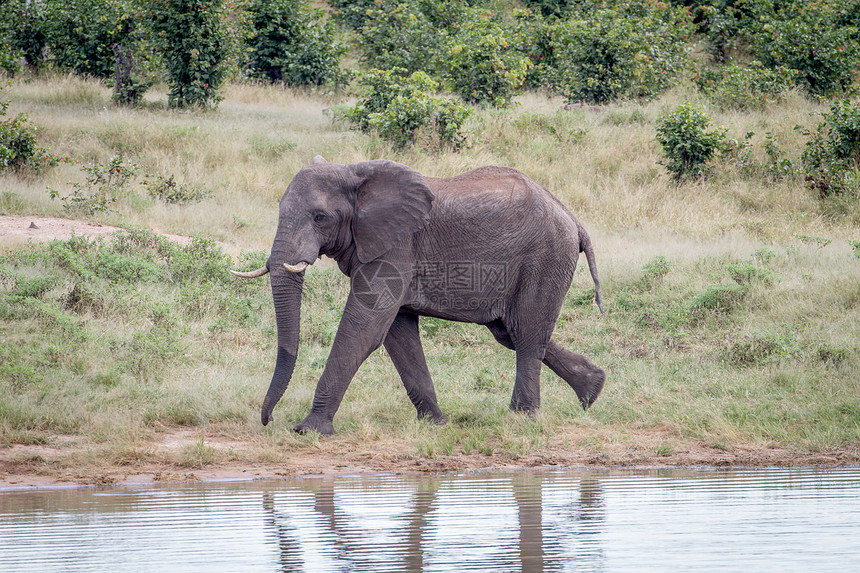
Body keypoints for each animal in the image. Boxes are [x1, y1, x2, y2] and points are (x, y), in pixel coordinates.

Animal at [230, 156, 604, 434]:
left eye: (320, 217)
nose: (267, 421)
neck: (354, 173)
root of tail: (574, 220)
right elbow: (397, 333)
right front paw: (435, 424)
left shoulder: (396, 247)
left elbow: (364, 328)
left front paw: (308, 430)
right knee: (511, 331)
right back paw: (592, 390)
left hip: (545, 258)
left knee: (526, 334)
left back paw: (521, 418)